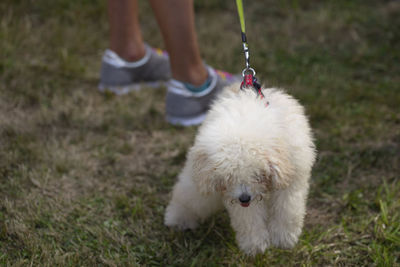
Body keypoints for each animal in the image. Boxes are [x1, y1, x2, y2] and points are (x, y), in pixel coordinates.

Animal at [165, 82, 316, 256]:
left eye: (258, 174)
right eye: (229, 177)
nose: (245, 198)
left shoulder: (292, 179)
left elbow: (287, 210)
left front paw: (284, 238)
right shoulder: (234, 197)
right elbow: (248, 219)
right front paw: (255, 245)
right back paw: (177, 219)